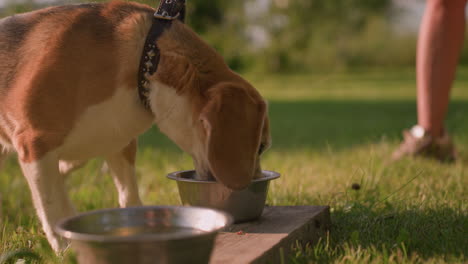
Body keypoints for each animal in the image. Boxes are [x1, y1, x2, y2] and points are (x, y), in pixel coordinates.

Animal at [0, 0, 270, 252]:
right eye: (260, 148)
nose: (253, 182)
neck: (147, 59)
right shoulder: (35, 142)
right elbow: (51, 203)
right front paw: (66, 249)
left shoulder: (116, 137)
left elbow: (126, 192)